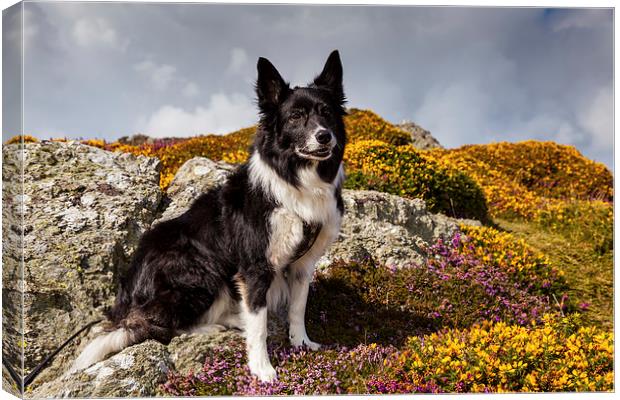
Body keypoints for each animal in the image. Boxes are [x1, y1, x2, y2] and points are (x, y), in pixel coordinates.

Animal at [71, 50, 348, 382]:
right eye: (295, 116)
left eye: (326, 113)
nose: (324, 137)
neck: (296, 181)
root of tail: (127, 297)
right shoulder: (255, 267)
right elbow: (259, 327)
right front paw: (262, 369)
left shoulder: (302, 265)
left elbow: (298, 309)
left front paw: (302, 344)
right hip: (200, 271)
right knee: (160, 327)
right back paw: (217, 325)